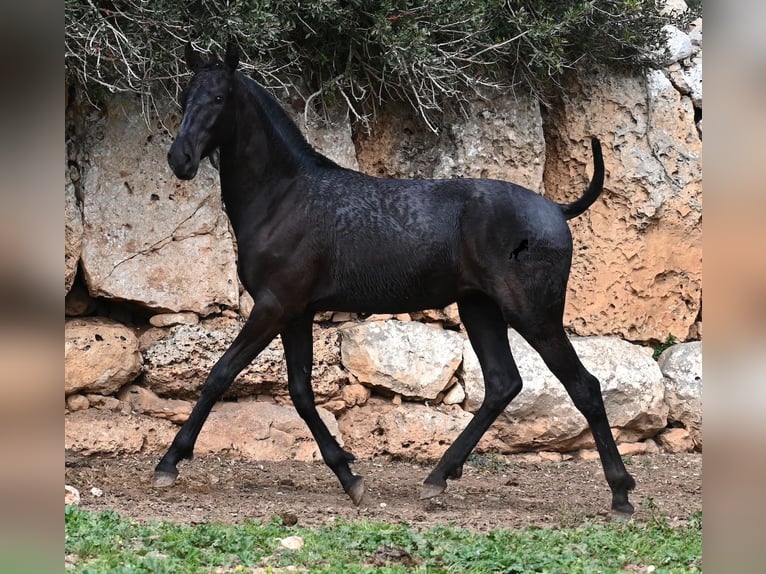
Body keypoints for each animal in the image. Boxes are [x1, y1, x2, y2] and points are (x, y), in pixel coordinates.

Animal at [159, 42, 640, 516]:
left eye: (218, 97)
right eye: (184, 97)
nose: (180, 159)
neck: (285, 196)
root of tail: (555, 209)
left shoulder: (274, 306)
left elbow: (221, 374)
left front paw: (169, 463)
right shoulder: (296, 313)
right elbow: (301, 393)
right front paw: (349, 476)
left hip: (533, 315)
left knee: (583, 386)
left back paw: (620, 494)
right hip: (480, 309)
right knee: (504, 384)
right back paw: (437, 477)